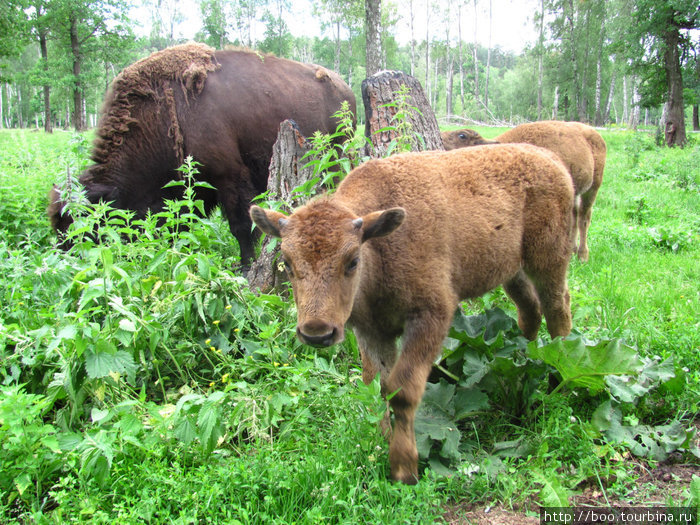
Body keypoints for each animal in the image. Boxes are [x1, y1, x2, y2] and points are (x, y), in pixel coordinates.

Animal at [48, 43, 356, 266]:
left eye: (90, 229)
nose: (70, 267)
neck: (164, 111)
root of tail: (344, 87)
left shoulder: (229, 177)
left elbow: (240, 226)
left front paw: (245, 266)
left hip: (338, 158)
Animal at [250, 143, 576, 484]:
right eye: (287, 262)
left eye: (352, 260)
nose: (316, 332)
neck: (379, 247)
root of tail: (550, 158)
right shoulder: (372, 332)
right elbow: (378, 386)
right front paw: (380, 442)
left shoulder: (430, 317)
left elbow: (402, 391)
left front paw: (404, 468)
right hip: (512, 270)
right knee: (530, 310)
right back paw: (521, 361)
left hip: (549, 259)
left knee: (557, 308)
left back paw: (561, 379)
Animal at [440, 122, 604, 262]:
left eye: (462, 135)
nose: (440, 135)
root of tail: (593, 132)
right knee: (575, 216)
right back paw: (573, 250)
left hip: (593, 187)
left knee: (584, 217)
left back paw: (582, 255)